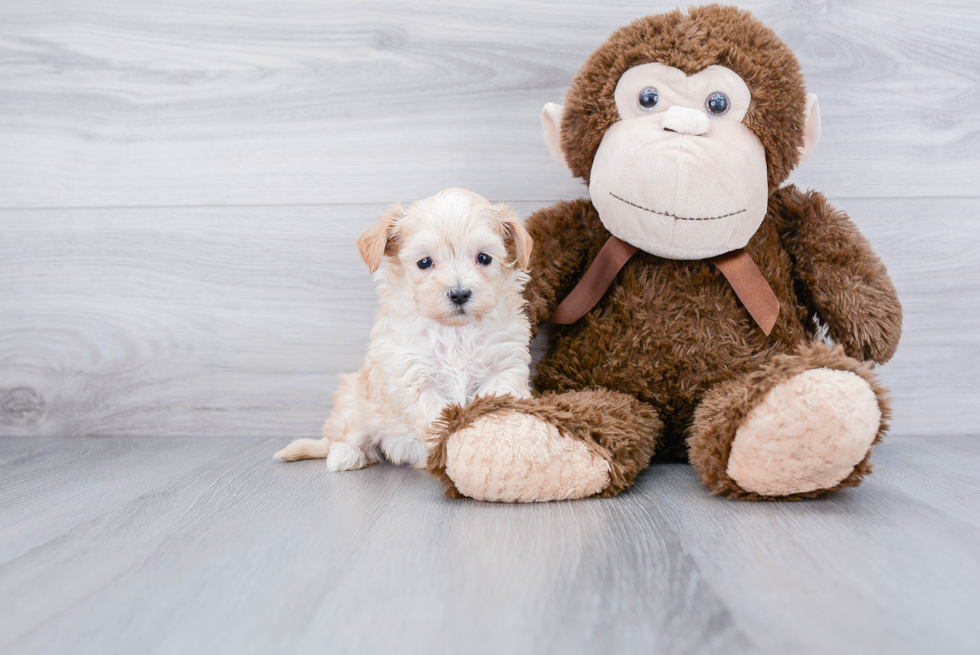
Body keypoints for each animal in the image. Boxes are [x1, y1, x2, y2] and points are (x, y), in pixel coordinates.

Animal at [276, 188, 532, 472]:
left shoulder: (504, 366)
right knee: (343, 437)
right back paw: (345, 455)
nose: (459, 294)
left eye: (484, 258)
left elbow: (497, 407)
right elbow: (437, 418)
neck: (455, 332)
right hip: (353, 403)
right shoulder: (411, 375)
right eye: (424, 262)